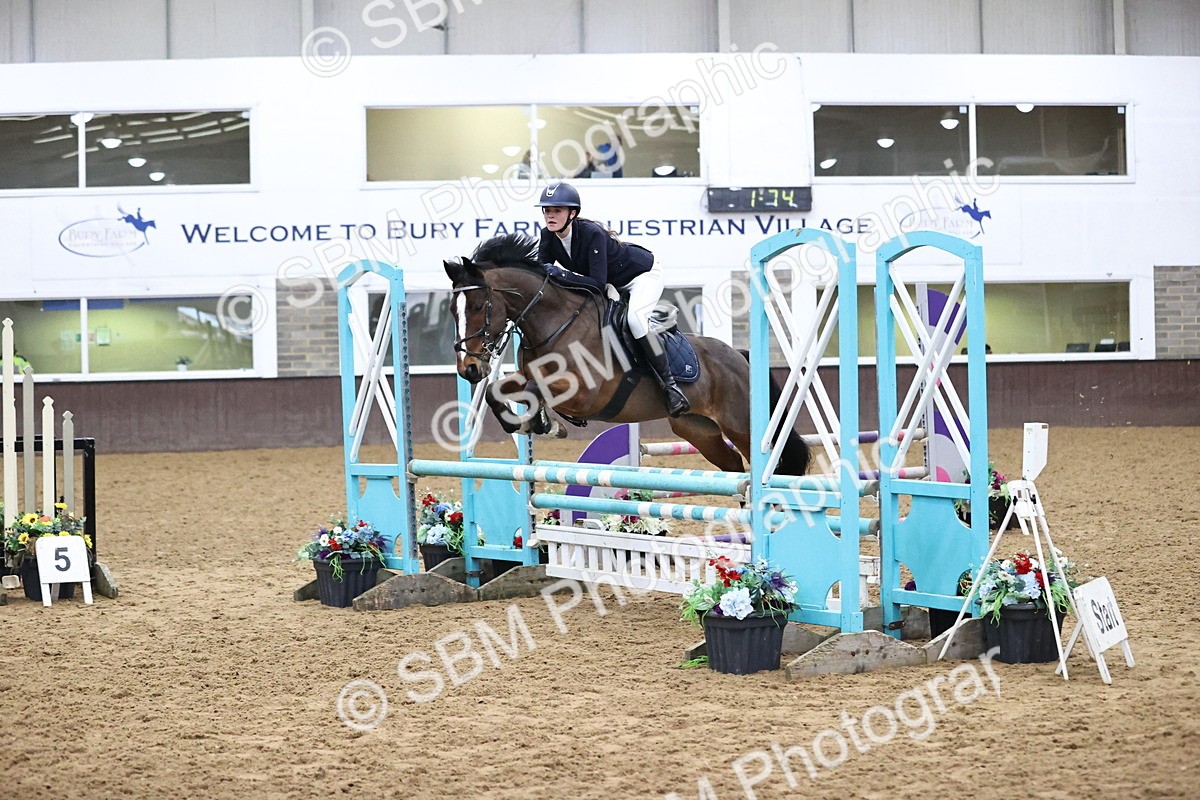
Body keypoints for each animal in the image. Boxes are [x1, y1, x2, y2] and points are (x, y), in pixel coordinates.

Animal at [443, 234, 810, 475]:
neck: (556, 322)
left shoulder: (585, 393)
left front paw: (545, 424)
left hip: (741, 426)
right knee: (733, 467)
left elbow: (537, 390)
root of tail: (738, 356)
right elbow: (496, 391)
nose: (469, 369)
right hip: (697, 429)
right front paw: (530, 424)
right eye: (451, 310)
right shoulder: (528, 376)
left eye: (478, 306)